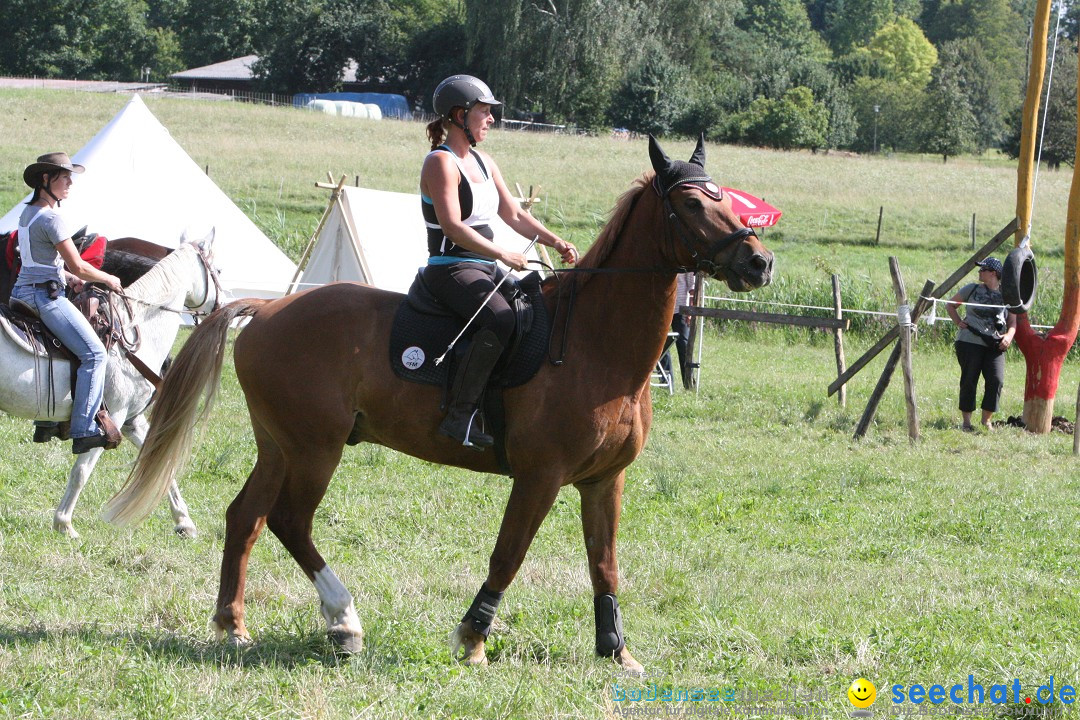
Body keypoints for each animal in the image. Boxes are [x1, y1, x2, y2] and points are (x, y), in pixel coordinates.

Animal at [0, 227, 221, 537]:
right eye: (218, 270)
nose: (222, 305)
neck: (132, 330)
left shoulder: (132, 419)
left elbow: (161, 463)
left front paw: (184, 522)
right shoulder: (110, 417)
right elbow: (81, 471)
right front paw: (64, 523)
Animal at [105, 138, 773, 673]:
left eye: (725, 199)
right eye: (693, 204)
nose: (759, 262)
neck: (593, 343)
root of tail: (269, 309)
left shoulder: (604, 480)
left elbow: (605, 565)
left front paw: (616, 651)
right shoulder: (540, 476)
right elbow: (509, 555)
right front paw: (473, 638)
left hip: (280, 445)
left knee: (246, 517)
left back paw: (234, 626)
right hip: (315, 447)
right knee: (291, 521)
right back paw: (343, 622)